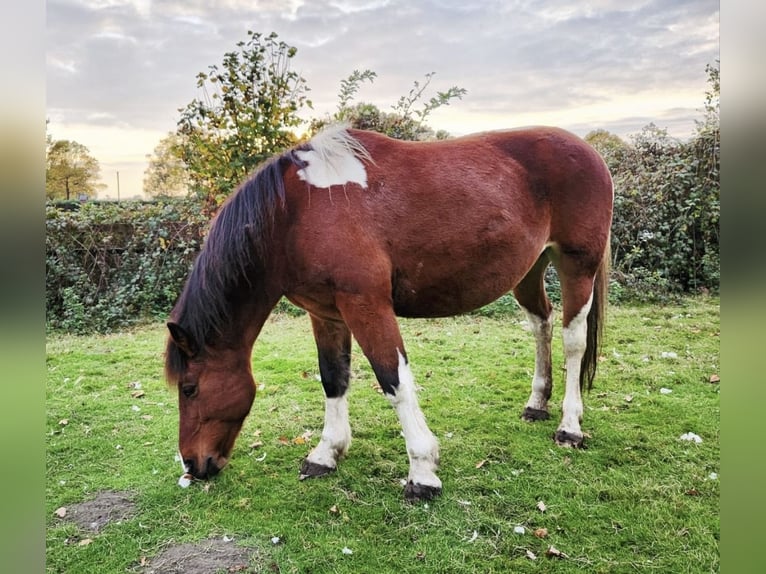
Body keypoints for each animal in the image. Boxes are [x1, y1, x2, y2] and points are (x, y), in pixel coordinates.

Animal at [164, 124, 613, 501]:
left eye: (189, 389)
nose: (193, 465)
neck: (296, 214)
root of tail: (589, 151)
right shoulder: (327, 314)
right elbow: (333, 378)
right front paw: (326, 453)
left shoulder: (366, 305)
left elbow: (393, 380)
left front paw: (423, 471)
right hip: (530, 270)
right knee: (541, 323)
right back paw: (537, 403)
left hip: (577, 266)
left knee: (574, 340)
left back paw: (570, 426)